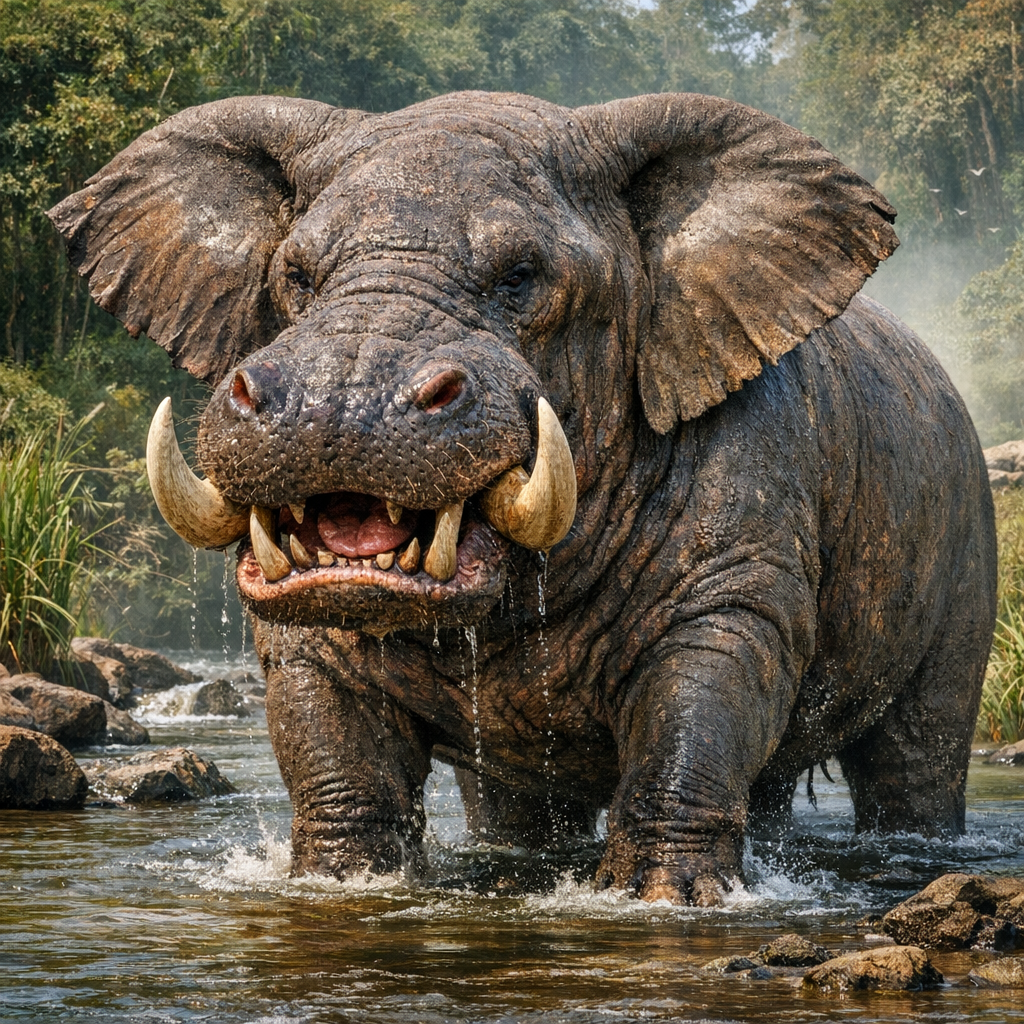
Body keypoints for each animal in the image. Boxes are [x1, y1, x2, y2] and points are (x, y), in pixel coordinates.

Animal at [49, 91, 997, 905]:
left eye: (519, 277)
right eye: (296, 276)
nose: (335, 407)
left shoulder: (749, 485)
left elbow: (713, 671)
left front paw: (666, 900)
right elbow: (322, 703)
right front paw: (343, 886)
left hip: (965, 536)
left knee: (915, 762)